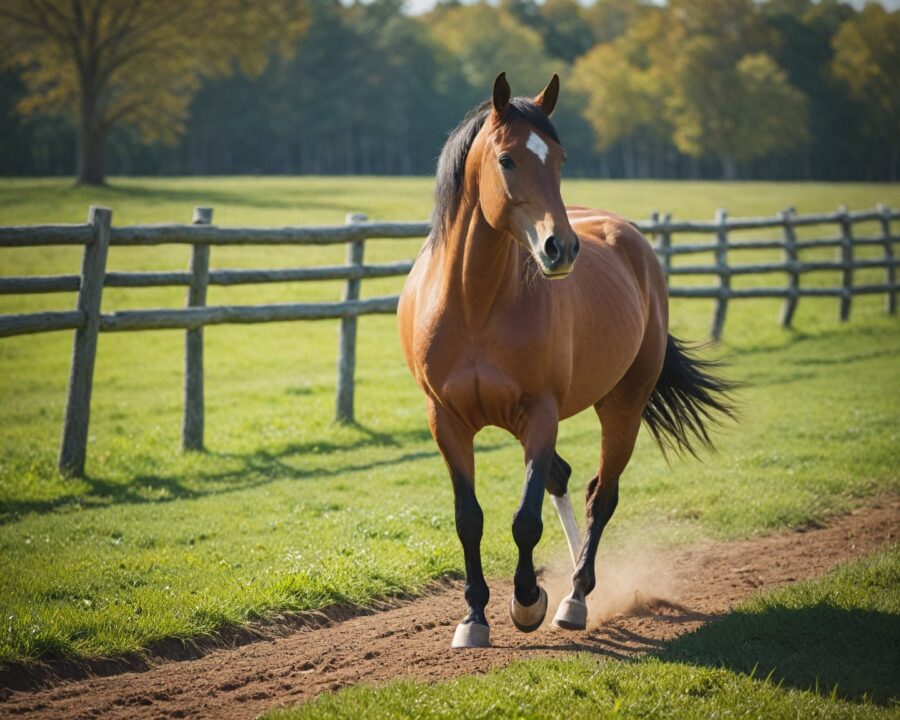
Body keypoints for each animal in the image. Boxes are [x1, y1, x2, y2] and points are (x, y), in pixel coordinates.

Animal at [397, 72, 734, 648]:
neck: (474, 303)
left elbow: (525, 519)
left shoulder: (541, 414)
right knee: (565, 478)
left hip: (622, 405)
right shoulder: (446, 420)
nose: (561, 248)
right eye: (507, 159)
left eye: (559, 158)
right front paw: (473, 617)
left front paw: (527, 601)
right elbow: (470, 518)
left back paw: (577, 596)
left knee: (602, 493)